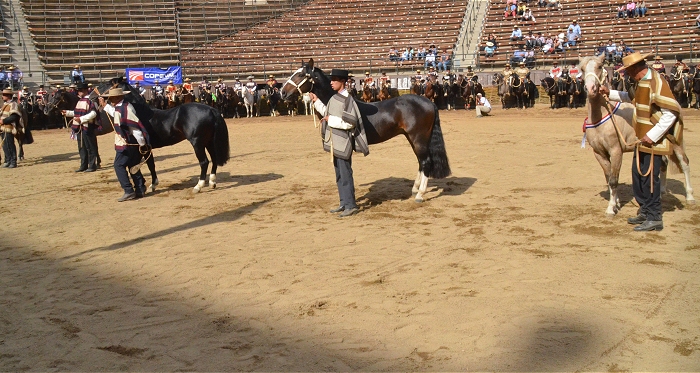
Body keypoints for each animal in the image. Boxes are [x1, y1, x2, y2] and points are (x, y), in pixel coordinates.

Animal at [91, 79, 230, 195]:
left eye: (107, 83)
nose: (91, 95)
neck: (141, 114)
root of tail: (212, 110)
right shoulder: (146, 148)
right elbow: (150, 165)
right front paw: (152, 185)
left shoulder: (141, 147)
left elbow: (146, 165)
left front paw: (150, 186)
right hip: (209, 142)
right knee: (214, 159)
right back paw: (212, 182)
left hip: (198, 143)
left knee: (204, 162)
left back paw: (198, 186)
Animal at [280, 58, 452, 202]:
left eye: (300, 74)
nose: (283, 92)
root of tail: (429, 103)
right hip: (413, 139)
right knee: (421, 162)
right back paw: (415, 189)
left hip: (418, 138)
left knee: (426, 161)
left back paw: (420, 194)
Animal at [580, 53, 696, 214]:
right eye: (582, 68)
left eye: (599, 66)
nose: (590, 88)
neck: (603, 117)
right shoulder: (599, 153)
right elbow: (609, 178)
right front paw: (616, 203)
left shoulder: (616, 151)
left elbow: (613, 180)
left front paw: (611, 209)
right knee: (664, 164)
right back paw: (662, 192)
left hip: (676, 143)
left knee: (685, 163)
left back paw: (690, 197)